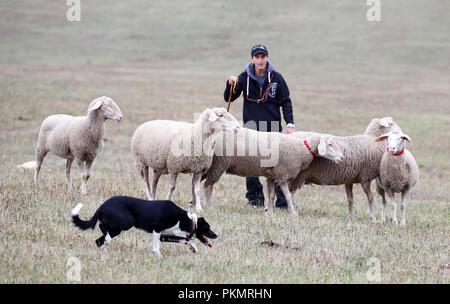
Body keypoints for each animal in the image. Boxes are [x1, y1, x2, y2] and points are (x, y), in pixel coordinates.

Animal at [202, 128, 342, 216]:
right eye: (330, 145)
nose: (342, 158)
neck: (301, 149)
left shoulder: (271, 175)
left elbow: (271, 195)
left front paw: (269, 213)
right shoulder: (282, 174)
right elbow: (288, 196)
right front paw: (294, 213)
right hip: (218, 165)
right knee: (207, 186)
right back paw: (209, 206)